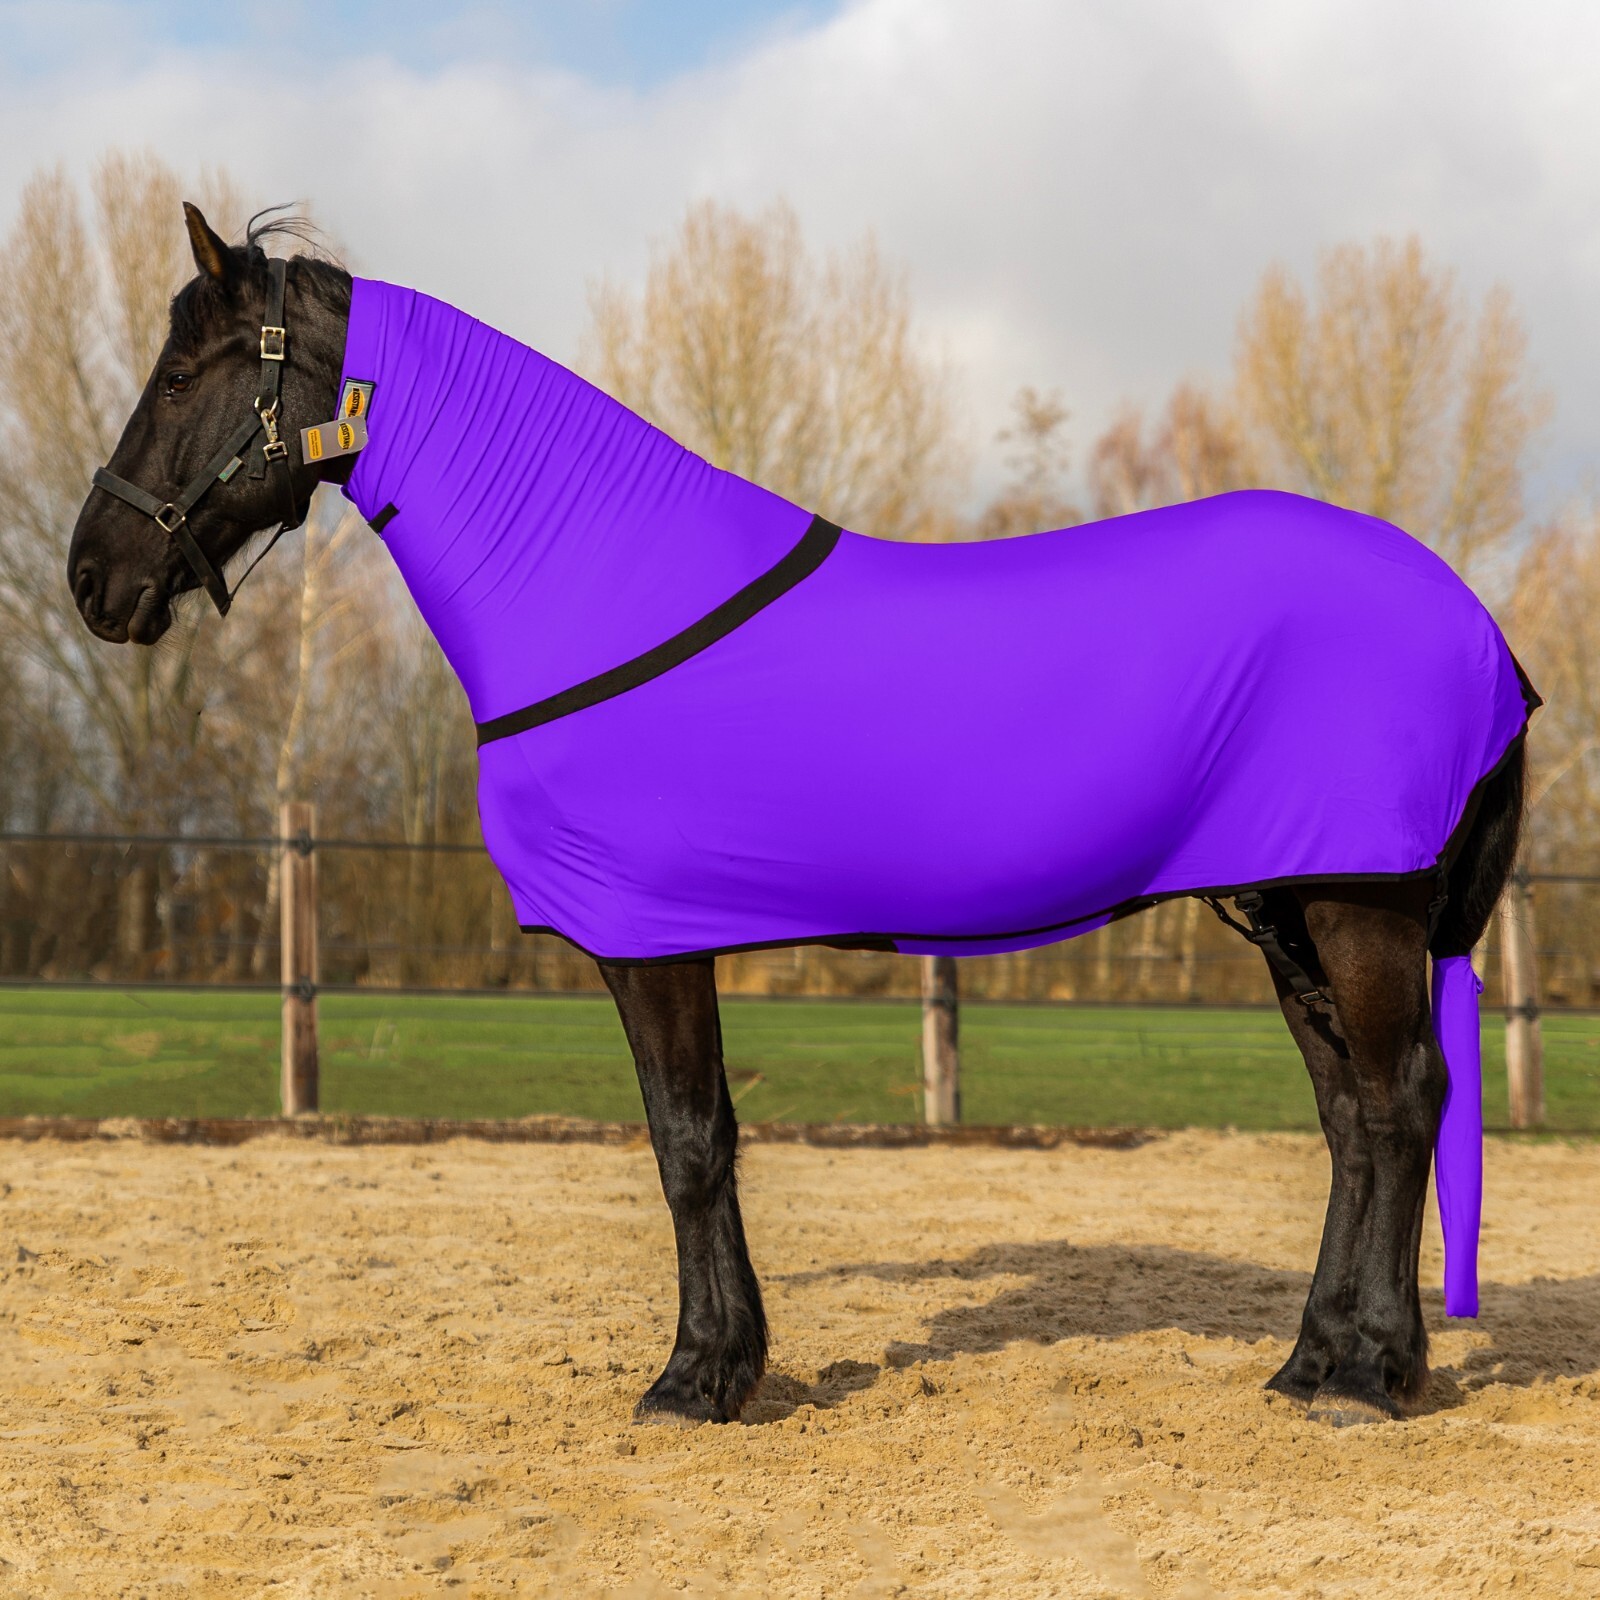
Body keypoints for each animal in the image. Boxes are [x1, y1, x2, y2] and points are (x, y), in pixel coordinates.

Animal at [66, 205, 1531, 1428]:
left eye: (182, 378)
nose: (92, 576)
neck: (601, 590)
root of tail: (1484, 631)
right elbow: (701, 1138)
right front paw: (727, 1362)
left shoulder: (649, 939)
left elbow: (688, 1145)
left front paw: (697, 1377)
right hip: (1293, 906)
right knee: (1349, 1120)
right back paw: (1312, 1362)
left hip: (1359, 906)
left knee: (1402, 1101)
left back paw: (1371, 1377)